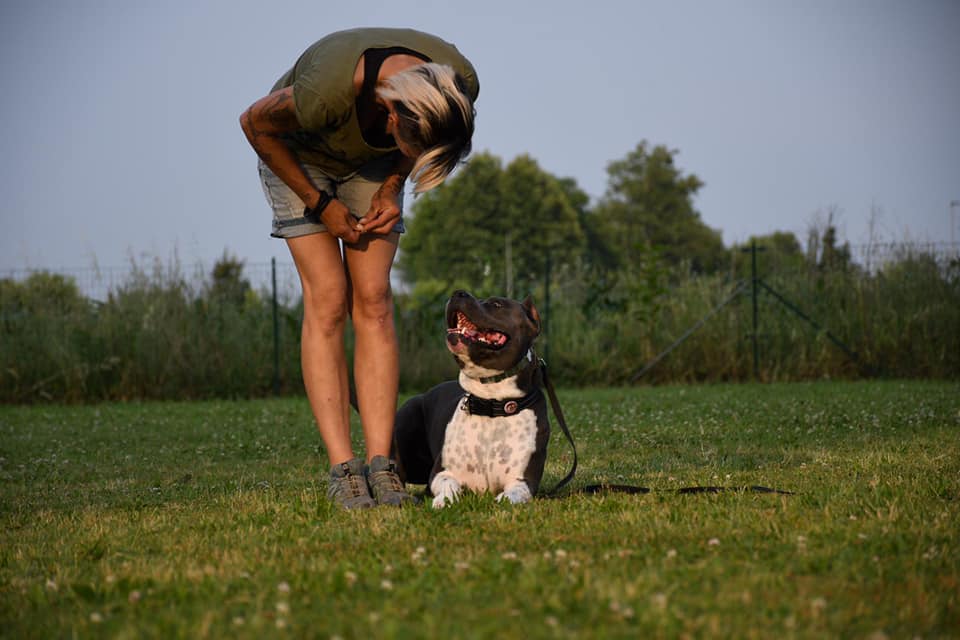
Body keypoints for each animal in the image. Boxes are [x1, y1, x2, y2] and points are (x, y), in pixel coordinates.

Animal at [394, 292, 552, 510]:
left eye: (497, 304)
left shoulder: (525, 481)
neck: (491, 402)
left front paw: (503, 501)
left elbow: (514, 494)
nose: (458, 293)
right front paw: (444, 500)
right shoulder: (441, 472)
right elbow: (449, 484)